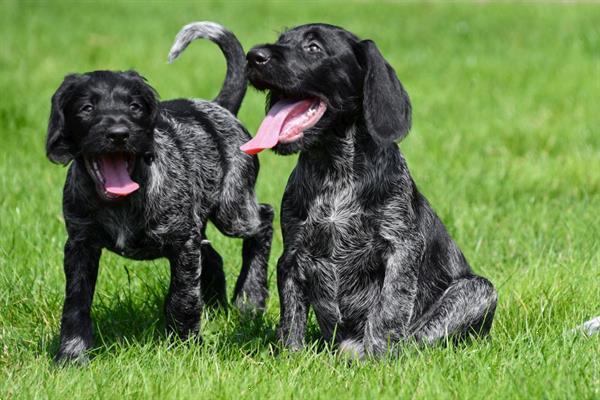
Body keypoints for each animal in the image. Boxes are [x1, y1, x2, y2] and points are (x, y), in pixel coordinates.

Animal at [47, 22, 274, 366]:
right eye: (87, 108)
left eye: (135, 107)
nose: (119, 134)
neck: (122, 201)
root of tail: (218, 106)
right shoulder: (80, 245)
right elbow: (76, 303)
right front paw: (72, 355)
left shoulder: (182, 244)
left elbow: (182, 300)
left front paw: (187, 347)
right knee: (213, 255)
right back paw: (218, 306)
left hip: (233, 210)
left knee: (263, 221)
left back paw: (250, 297)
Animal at [241, 24, 500, 356]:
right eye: (280, 40)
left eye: (313, 47)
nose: (253, 55)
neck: (334, 170)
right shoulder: (292, 255)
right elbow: (291, 316)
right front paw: (291, 356)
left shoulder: (400, 249)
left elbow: (388, 310)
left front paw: (378, 358)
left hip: (477, 289)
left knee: (418, 339)